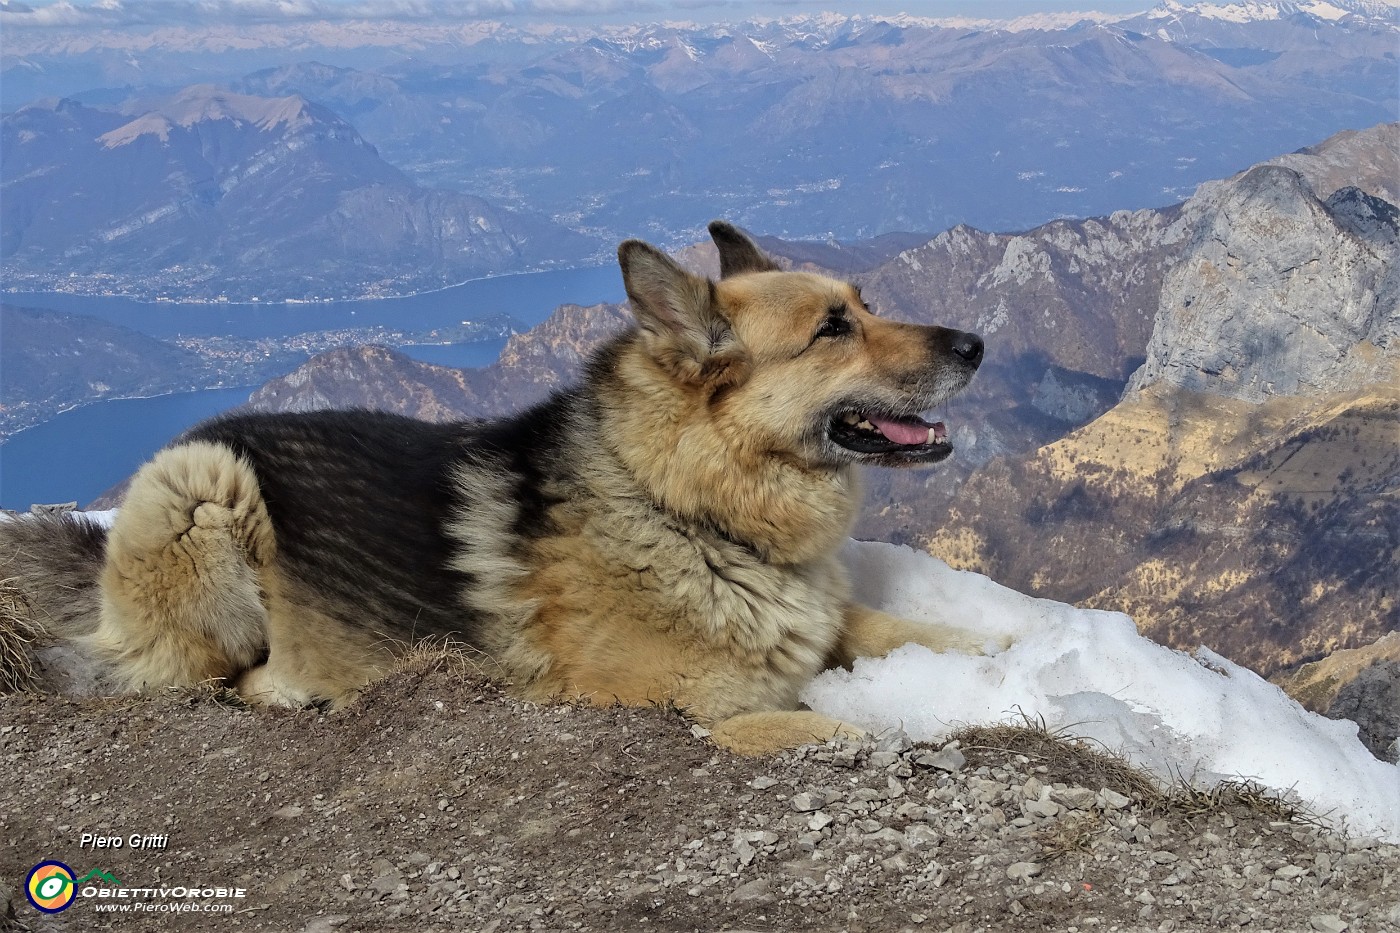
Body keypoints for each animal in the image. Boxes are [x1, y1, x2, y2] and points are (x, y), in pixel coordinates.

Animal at [0, 221, 991, 750]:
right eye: (831, 329)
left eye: (864, 304)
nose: (977, 345)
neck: (682, 505)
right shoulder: (668, 703)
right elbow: (831, 725)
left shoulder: (821, 615)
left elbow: (891, 626)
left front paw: (991, 648)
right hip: (204, 489)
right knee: (199, 678)